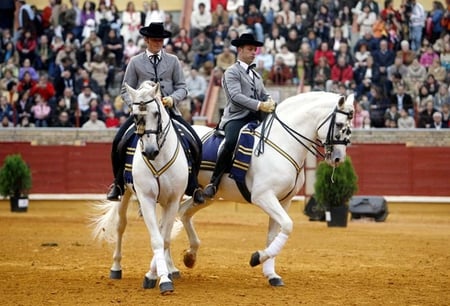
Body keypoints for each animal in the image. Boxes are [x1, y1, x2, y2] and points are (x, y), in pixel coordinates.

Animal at [92, 80, 189, 294]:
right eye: (135, 115)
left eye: (156, 113)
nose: (151, 151)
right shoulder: (146, 198)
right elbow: (156, 239)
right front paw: (160, 279)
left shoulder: (173, 200)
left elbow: (164, 237)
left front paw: (160, 274)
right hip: (126, 193)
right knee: (120, 226)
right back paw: (116, 267)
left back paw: (171, 268)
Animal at [178, 91, 354, 286]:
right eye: (339, 124)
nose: (338, 159)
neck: (282, 142)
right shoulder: (263, 197)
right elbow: (288, 225)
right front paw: (257, 257)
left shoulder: (283, 201)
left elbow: (274, 234)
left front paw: (271, 274)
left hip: (205, 196)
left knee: (183, 213)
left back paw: (189, 257)